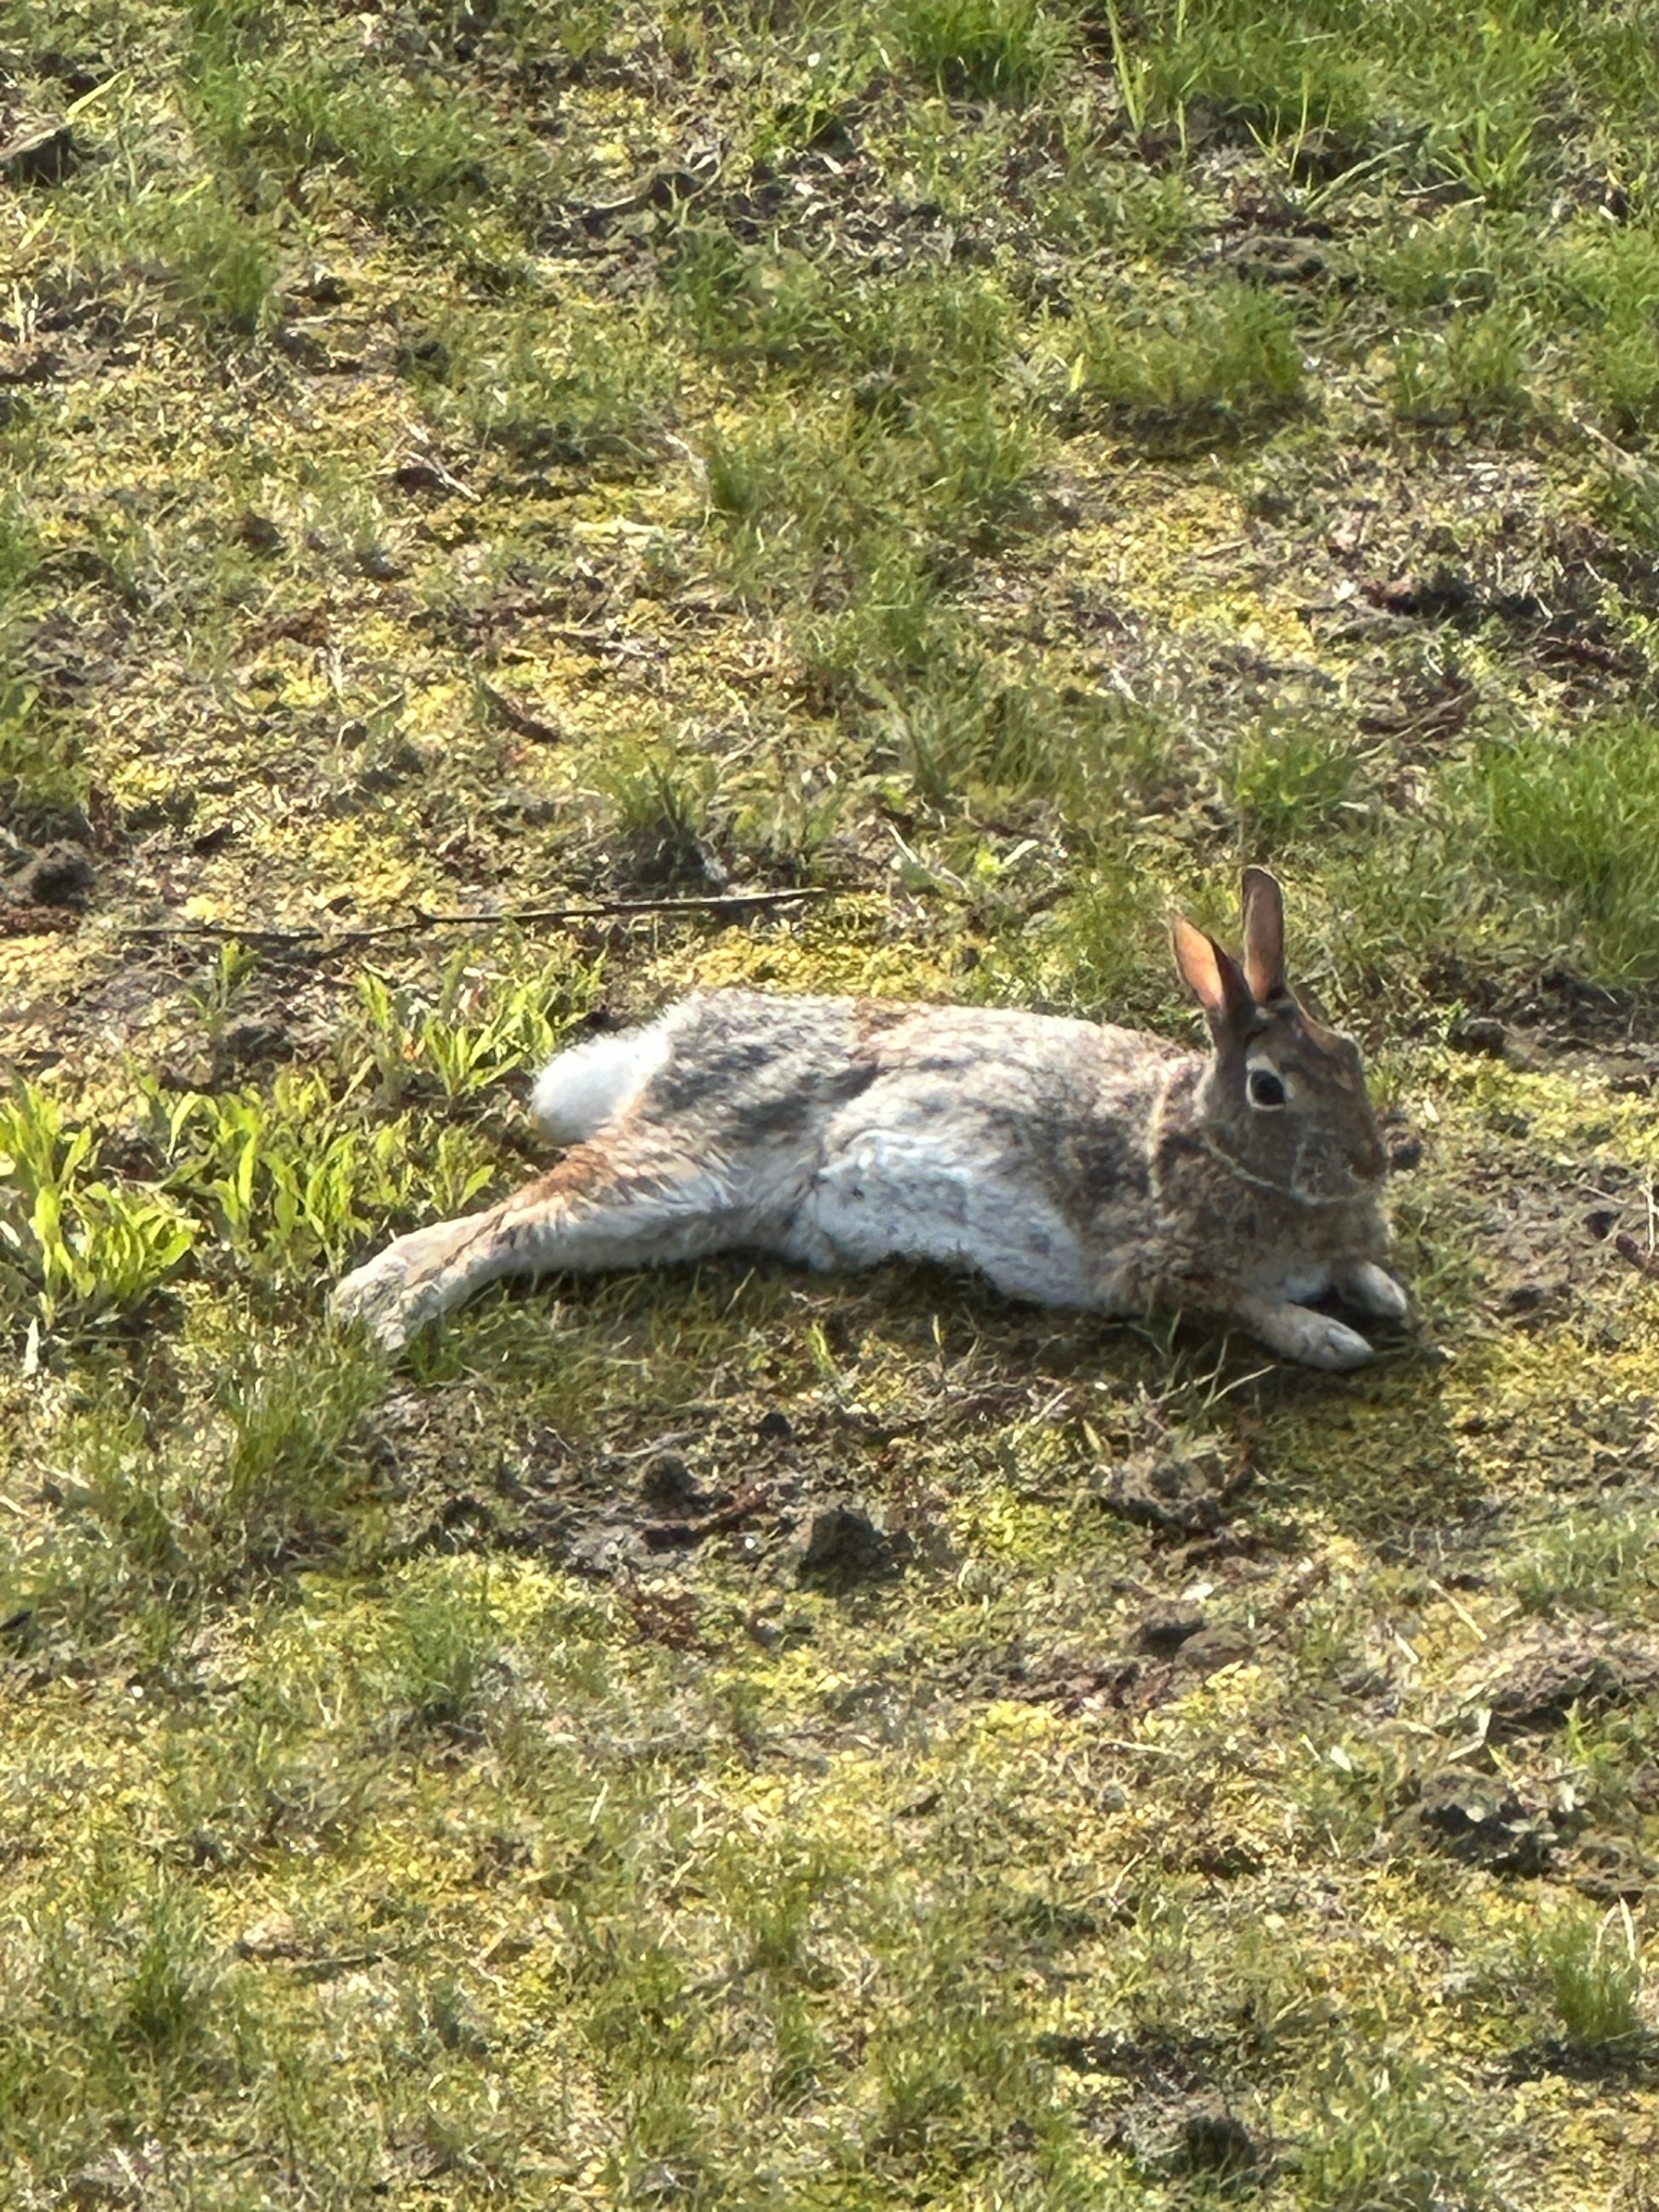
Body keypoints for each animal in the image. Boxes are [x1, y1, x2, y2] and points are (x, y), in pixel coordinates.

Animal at [331, 867, 1407, 1369]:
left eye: (1349, 1052)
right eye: (1269, 1088)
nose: (1370, 1164)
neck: (1214, 1143)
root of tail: (671, 1040)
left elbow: (1355, 1273)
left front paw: (1386, 1295)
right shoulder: (1163, 1270)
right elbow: (1248, 1306)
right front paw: (1335, 1341)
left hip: (691, 1211)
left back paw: (371, 1295)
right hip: (686, 1161)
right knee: (511, 1222)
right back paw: (382, 1315)